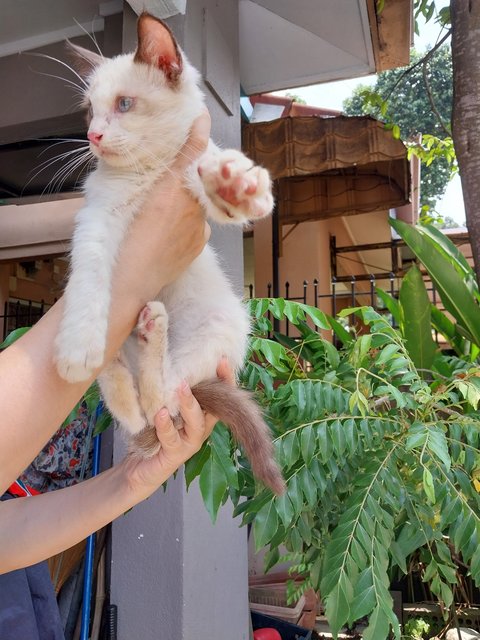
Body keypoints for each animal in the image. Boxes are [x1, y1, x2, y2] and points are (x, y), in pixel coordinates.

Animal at [54, 15, 284, 496]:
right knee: (141, 411)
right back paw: (112, 361)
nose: (93, 136)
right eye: (89, 111)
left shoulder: (193, 187)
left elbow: (227, 190)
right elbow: (88, 274)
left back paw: (153, 332)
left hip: (214, 332)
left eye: (124, 104)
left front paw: (236, 185)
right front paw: (78, 343)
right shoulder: (96, 219)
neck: (147, 172)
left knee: (161, 400)